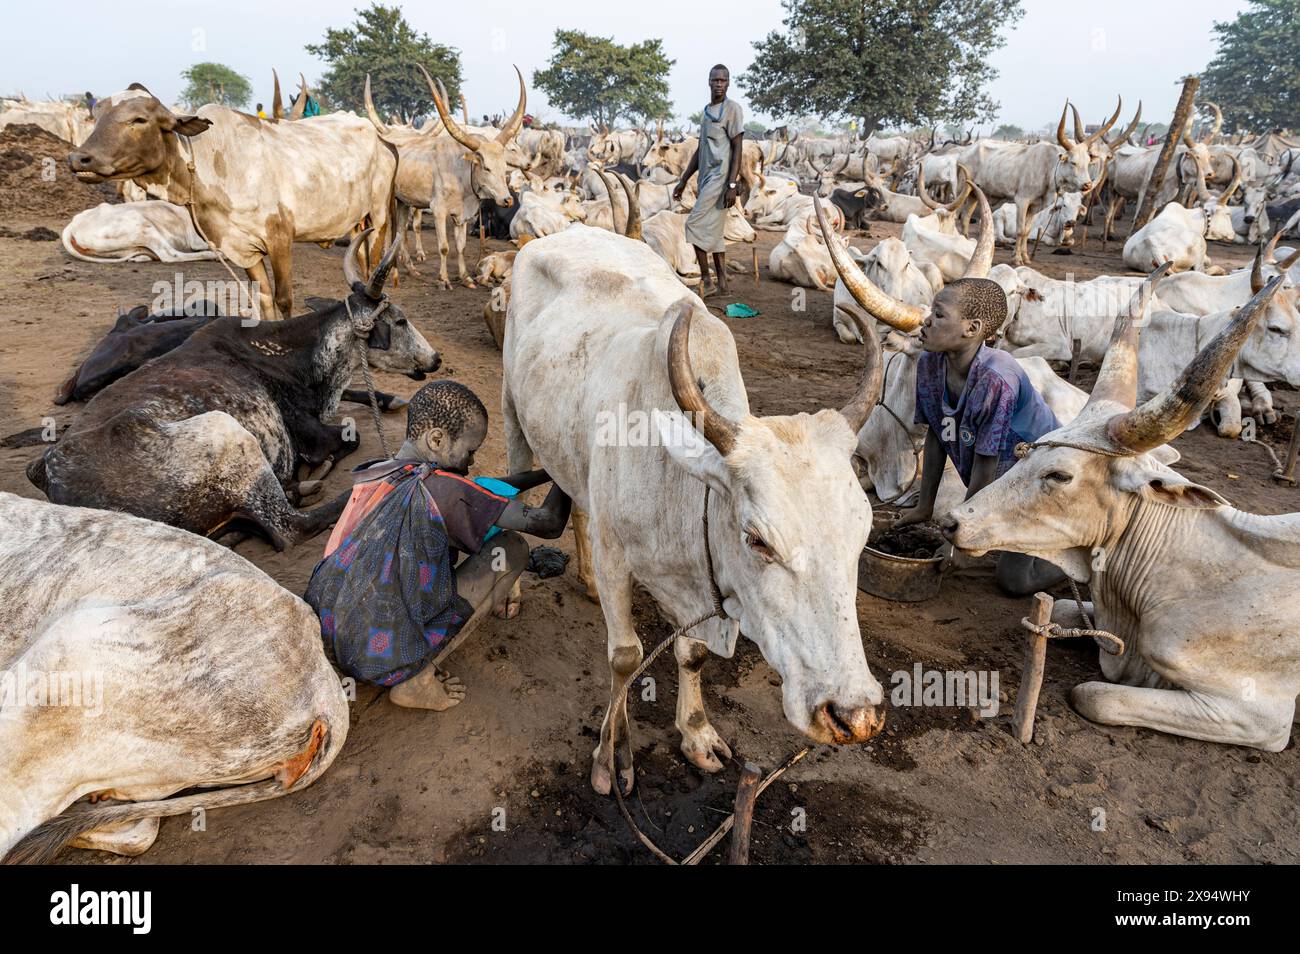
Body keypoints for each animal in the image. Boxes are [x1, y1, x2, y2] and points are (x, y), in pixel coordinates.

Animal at [25, 233, 439, 553]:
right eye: (401, 320)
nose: (435, 359)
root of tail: (51, 476)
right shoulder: (313, 434)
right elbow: (345, 442)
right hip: (227, 431)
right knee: (290, 528)